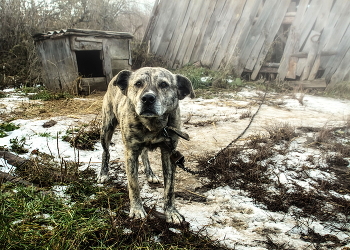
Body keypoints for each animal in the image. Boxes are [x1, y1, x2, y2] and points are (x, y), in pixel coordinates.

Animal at [98, 67, 194, 225]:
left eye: (163, 84)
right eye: (138, 83)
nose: (148, 98)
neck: (152, 124)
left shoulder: (169, 153)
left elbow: (170, 188)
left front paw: (171, 212)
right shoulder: (131, 152)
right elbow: (133, 185)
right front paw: (137, 210)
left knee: (144, 154)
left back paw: (150, 173)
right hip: (106, 127)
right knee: (106, 152)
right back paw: (103, 173)